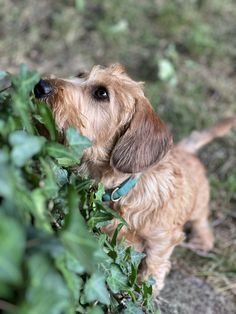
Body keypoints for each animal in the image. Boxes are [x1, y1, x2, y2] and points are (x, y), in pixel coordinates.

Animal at [34, 64, 235, 296]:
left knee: (201, 219)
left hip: (198, 203)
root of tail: (185, 149)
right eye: (80, 75)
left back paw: (203, 240)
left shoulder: (161, 239)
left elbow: (154, 264)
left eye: (101, 93)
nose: (40, 86)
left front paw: (146, 289)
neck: (119, 190)